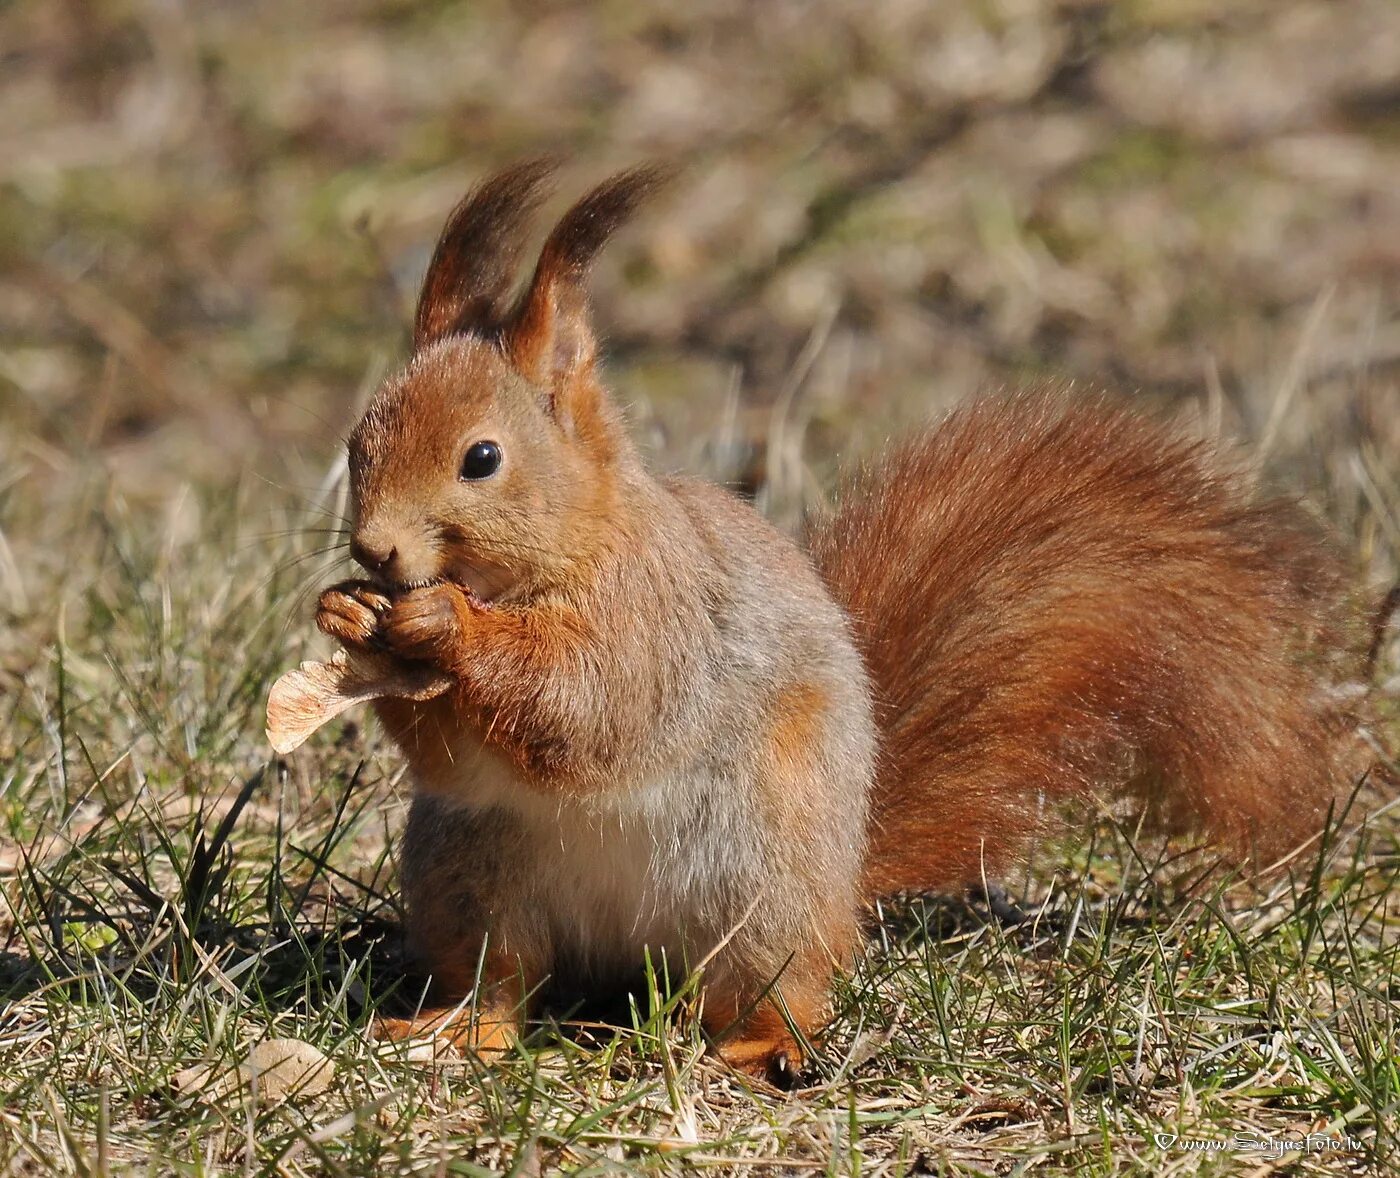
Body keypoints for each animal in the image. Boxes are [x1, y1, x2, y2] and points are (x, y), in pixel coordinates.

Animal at [315, 163, 1377, 1086]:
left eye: (482, 458)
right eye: (357, 439)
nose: (376, 550)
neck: (567, 546)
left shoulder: (655, 619)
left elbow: (586, 708)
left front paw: (445, 622)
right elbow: (454, 756)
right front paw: (348, 615)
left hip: (761, 887)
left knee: (776, 992)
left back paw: (755, 1049)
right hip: (472, 877)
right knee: (505, 982)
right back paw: (451, 1031)